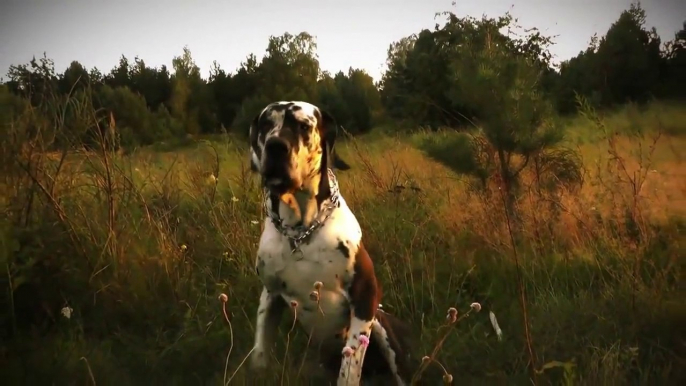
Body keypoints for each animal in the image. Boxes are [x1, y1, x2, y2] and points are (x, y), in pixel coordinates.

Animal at [249, 101, 414, 384]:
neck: (300, 231)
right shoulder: (270, 295)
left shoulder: (365, 296)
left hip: (382, 326)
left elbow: (349, 369)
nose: (276, 146)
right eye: (265, 124)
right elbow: (260, 351)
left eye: (304, 126)